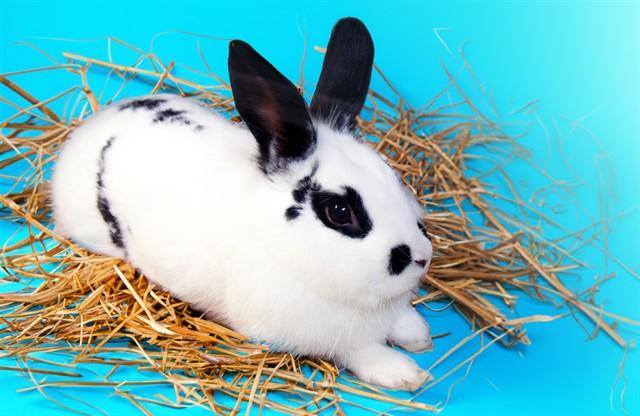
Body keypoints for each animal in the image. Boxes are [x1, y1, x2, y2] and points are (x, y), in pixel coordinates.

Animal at [50, 17, 434, 390]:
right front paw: (405, 373)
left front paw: (419, 336)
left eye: (393, 177)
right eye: (339, 212)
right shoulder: (322, 337)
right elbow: (359, 351)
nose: (421, 257)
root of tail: (90, 127)